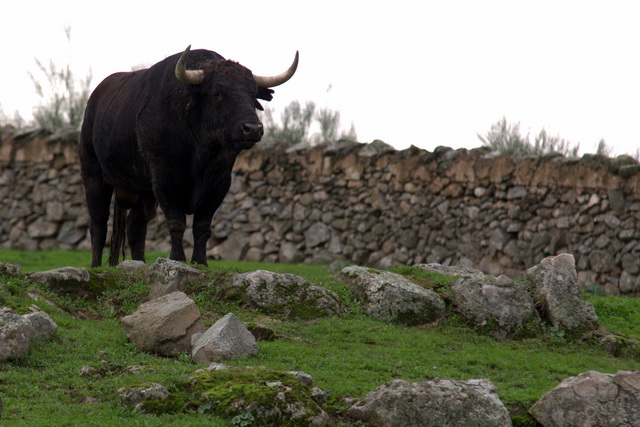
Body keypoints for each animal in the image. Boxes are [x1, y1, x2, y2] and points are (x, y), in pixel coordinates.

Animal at [79, 46, 298, 268]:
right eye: (216, 92)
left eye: (253, 95)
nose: (252, 129)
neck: (200, 155)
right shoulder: (163, 180)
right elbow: (176, 222)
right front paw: (177, 258)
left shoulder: (220, 183)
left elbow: (202, 226)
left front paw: (200, 261)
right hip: (93, 174)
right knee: (98, 223)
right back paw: (96, 265)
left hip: (143, 189)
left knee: (135, 226)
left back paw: (138, 263)